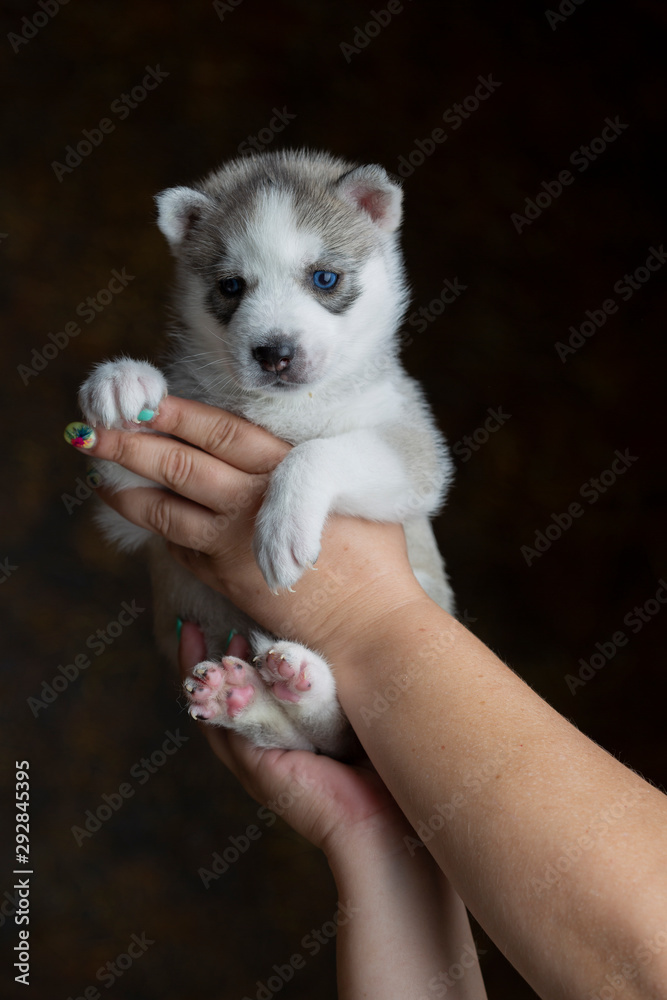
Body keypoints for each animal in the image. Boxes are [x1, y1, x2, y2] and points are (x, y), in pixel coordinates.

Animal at [78, 148, 454, 752]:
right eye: (232, 286)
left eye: (324, 278)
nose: (275, 352)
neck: (287, 409)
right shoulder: (133, 507)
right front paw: (123, 379)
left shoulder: (414, 454)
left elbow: (319, 452)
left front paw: (282, 525)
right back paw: (244, 697)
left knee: (337, 733)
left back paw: (301, 679)